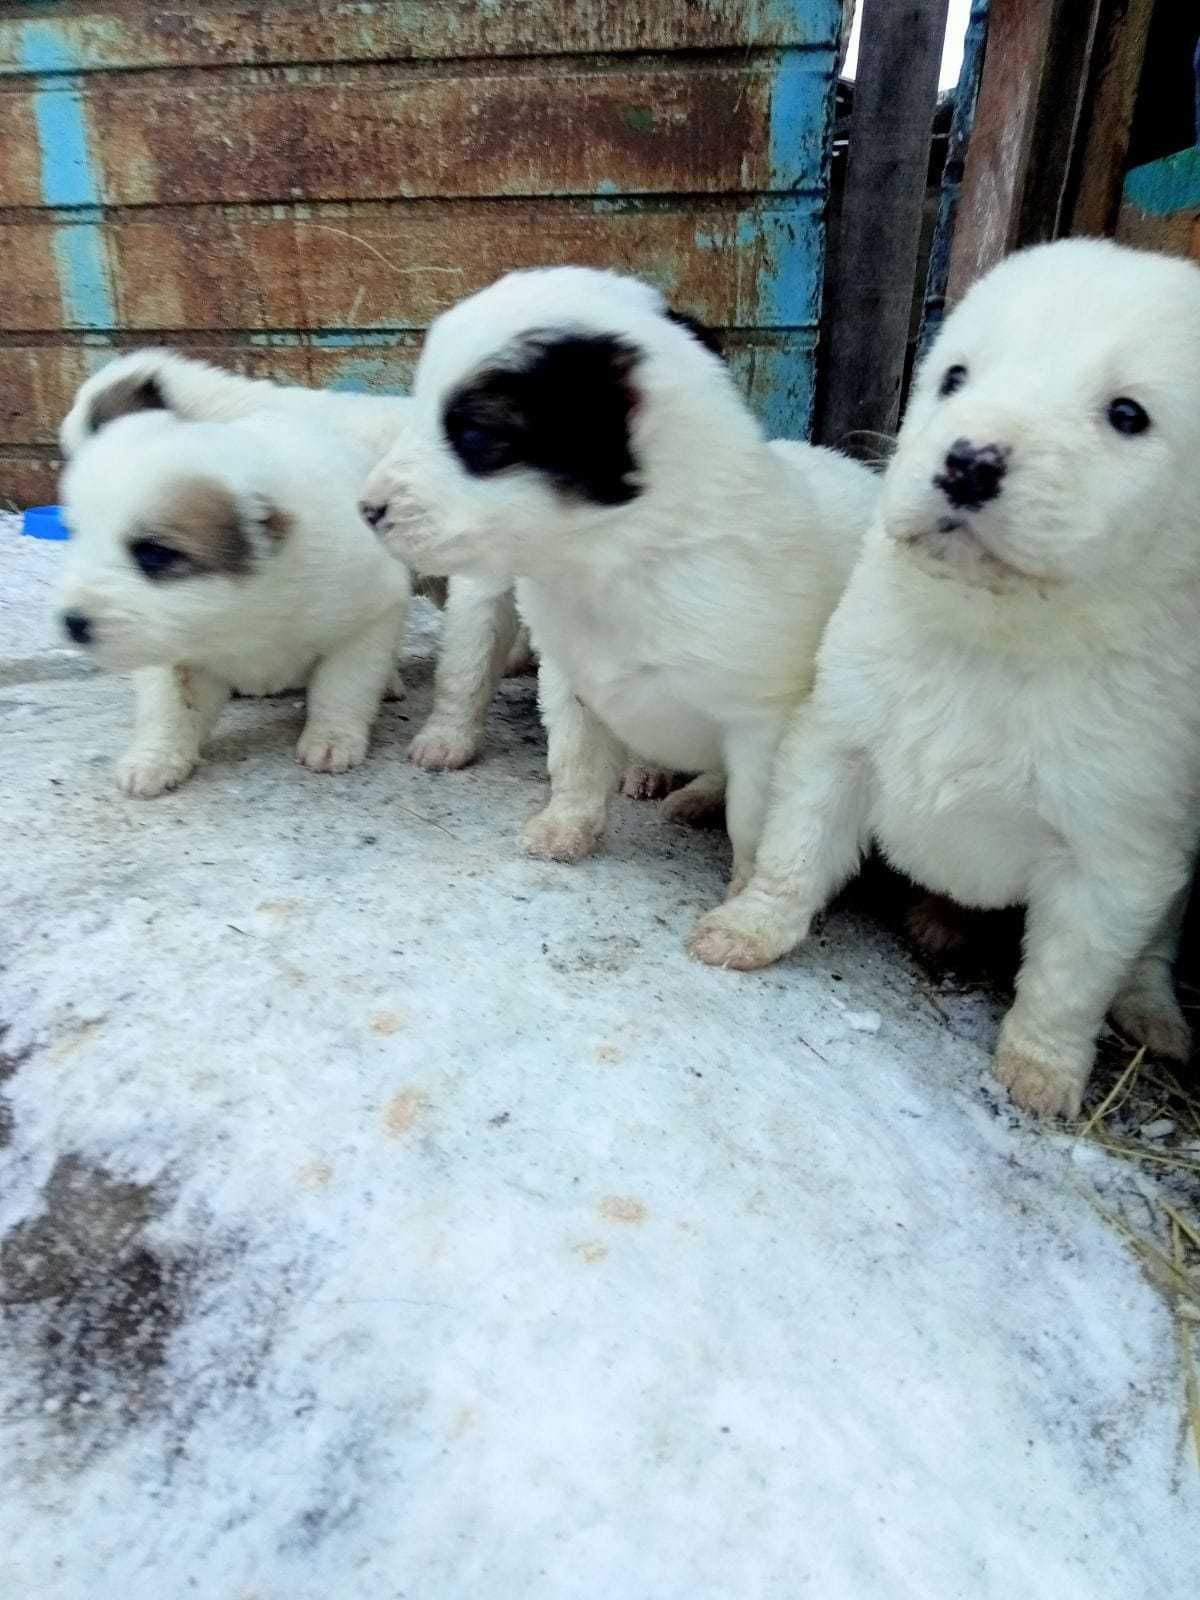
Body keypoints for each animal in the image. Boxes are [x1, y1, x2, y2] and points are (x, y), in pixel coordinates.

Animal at [56, 388, 412, 800]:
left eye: (154, 554)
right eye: (77, 536)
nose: (71, 623)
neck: (243, 611)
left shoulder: (370, 616)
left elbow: (343, 686)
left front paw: (332, 740)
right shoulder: (170, 653)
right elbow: (170, 709)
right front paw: (154, 759)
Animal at [361, 265, 876, 902]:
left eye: (476, 435)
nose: (366, 509)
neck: (619, 558)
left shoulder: (761, 721)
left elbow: (756, 821)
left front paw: (743, 894)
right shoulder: (571, 679)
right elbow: (574, 760)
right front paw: (565, 829)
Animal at [691, 236, 1200, 1120]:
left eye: (1128, 415)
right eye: (955, 376)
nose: (967, 463)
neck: (995, 641)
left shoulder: (1117, 853)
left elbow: (1070, 977)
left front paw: (1041, 1073)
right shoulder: (835, 741)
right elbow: (793, 852)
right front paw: (744, 929)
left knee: (1147, 956)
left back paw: (1152, 1016)